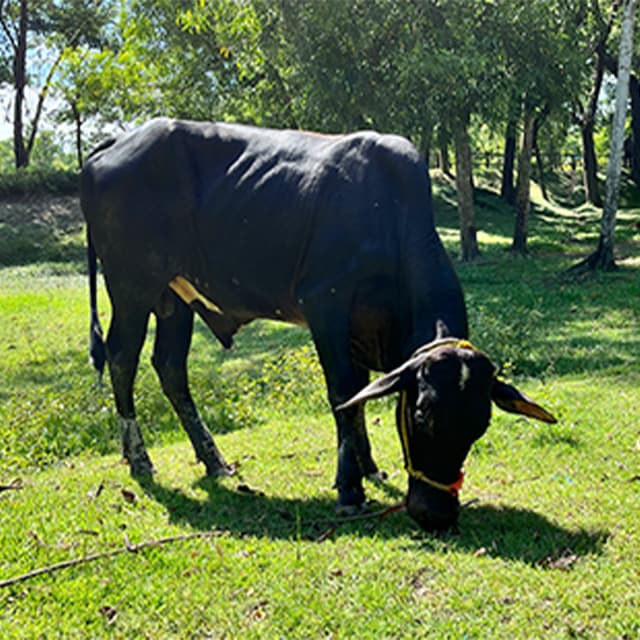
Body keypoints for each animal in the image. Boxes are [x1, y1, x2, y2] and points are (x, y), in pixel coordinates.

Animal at [81, 118, 556, 531]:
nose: (437, 515)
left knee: (170, 368)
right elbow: (344, 393)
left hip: (175, 297)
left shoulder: (359, 330)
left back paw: (215, 461)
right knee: (122, 358)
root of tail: (120, 142)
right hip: (132, 285)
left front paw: (369, 468)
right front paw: (349, 489)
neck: (388, 213)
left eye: (481, 423)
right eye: (422, 413)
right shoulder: (325, 304)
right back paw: (139, 457)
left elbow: (362, 395)